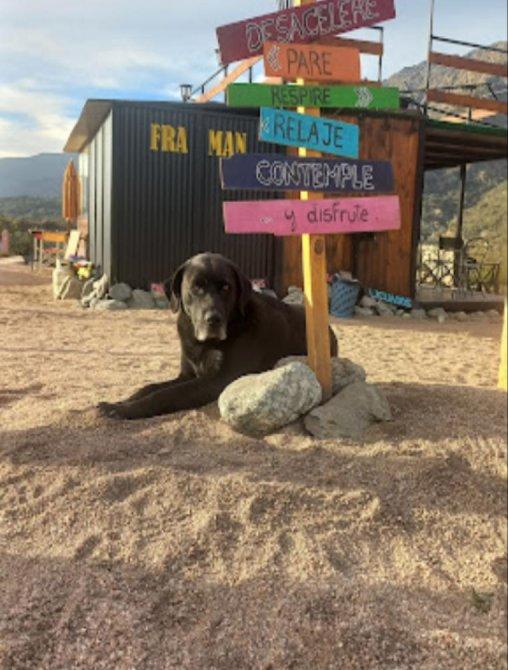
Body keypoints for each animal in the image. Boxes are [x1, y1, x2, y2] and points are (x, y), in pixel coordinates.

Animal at [98, 252, 338, 420]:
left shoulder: (217, 380)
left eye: (225, 287)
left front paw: (125, 410)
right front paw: (119, 403)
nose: (213, 319)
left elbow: (165, 395)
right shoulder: (186, 375)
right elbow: (148, 387)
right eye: (196, 287)